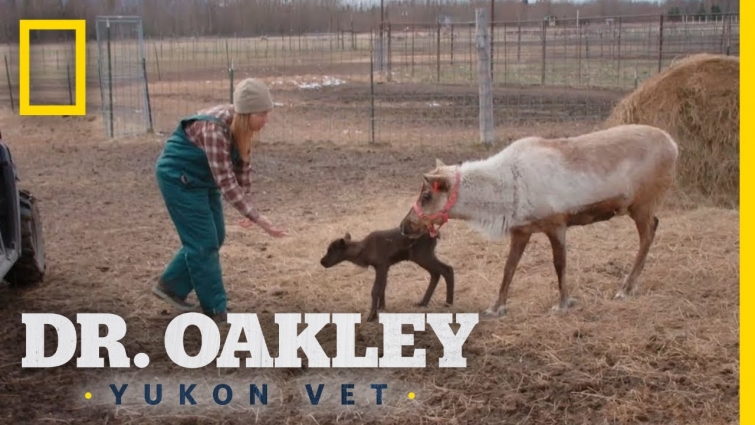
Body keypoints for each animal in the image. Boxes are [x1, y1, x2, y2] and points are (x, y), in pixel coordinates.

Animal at [320, 227, 454, 322]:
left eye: (331, 250)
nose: (322, 262)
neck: (364, 253)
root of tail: (436, 234)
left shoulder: (381, 265)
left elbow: (375, 290)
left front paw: (371, 316)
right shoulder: (384, 266)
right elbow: (383, 286)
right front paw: (381, 307)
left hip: (422, 256)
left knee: (447, 269)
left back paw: (448, 303)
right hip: (424, 256)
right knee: (436, 273)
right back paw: (423, 302)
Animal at [398, 124, 679, 318]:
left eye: (426, 195)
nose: (404, 226)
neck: (503, 192)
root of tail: (674, 144)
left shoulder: (556, 223)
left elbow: (559, 264)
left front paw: (563, 303)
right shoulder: (521, 230)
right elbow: (509, 268)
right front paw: (496, 307)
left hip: (641, 204)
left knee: (649, 233)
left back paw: (626, 287)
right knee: (654, 227)